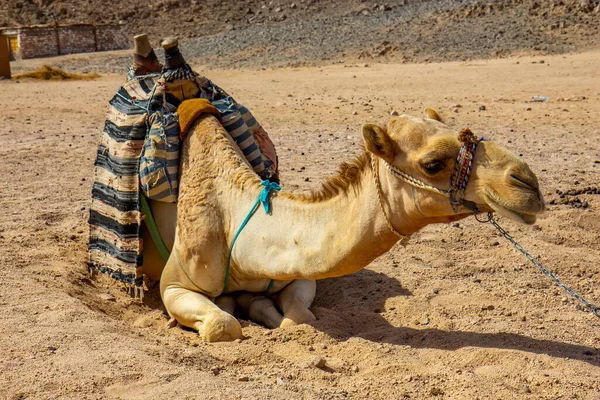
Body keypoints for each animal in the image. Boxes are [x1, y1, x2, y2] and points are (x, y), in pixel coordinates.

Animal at [142, 108, 544, 340]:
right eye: (432, 164)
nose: (527, 183)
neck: (242, 231)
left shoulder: (298, 273)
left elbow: (300, 317)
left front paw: (269, 314)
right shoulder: (175, 281)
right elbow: (223, 324)